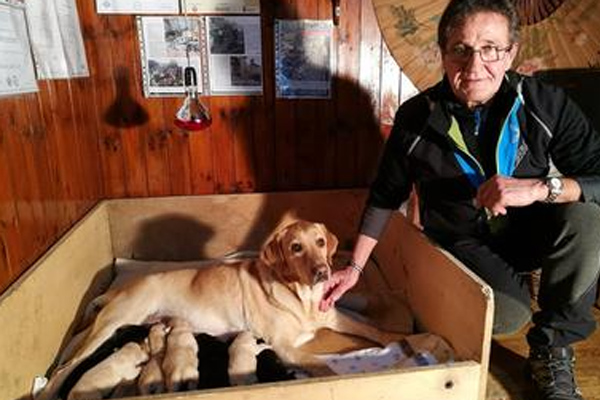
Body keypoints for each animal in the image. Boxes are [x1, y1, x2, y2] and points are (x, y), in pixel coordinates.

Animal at [38, 220, 404, 398]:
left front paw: (402, 337)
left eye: (320, 243)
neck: (302, 296)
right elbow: (323, 366)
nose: (322, 271)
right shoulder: (285, 346)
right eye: (296, 248)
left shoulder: (334, 315)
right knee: (63, 369)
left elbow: (371, 328)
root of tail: (119, 289)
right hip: (109, 327)